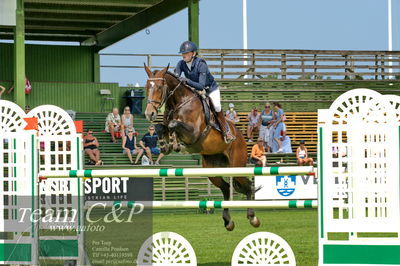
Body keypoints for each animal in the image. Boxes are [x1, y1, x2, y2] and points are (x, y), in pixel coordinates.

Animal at [143, 65, 260, 231]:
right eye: (147, 87)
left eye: (159, 87)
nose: (149, 113)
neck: (179, 102)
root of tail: (241, 137)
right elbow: (161, 127)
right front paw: (165, 145)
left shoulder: (193, 133)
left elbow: (173, 124)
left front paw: (175, 143)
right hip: (211, 169)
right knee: (226, 188)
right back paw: (228, 221)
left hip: (236, 165)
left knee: (247, 185)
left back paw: (252, 217)